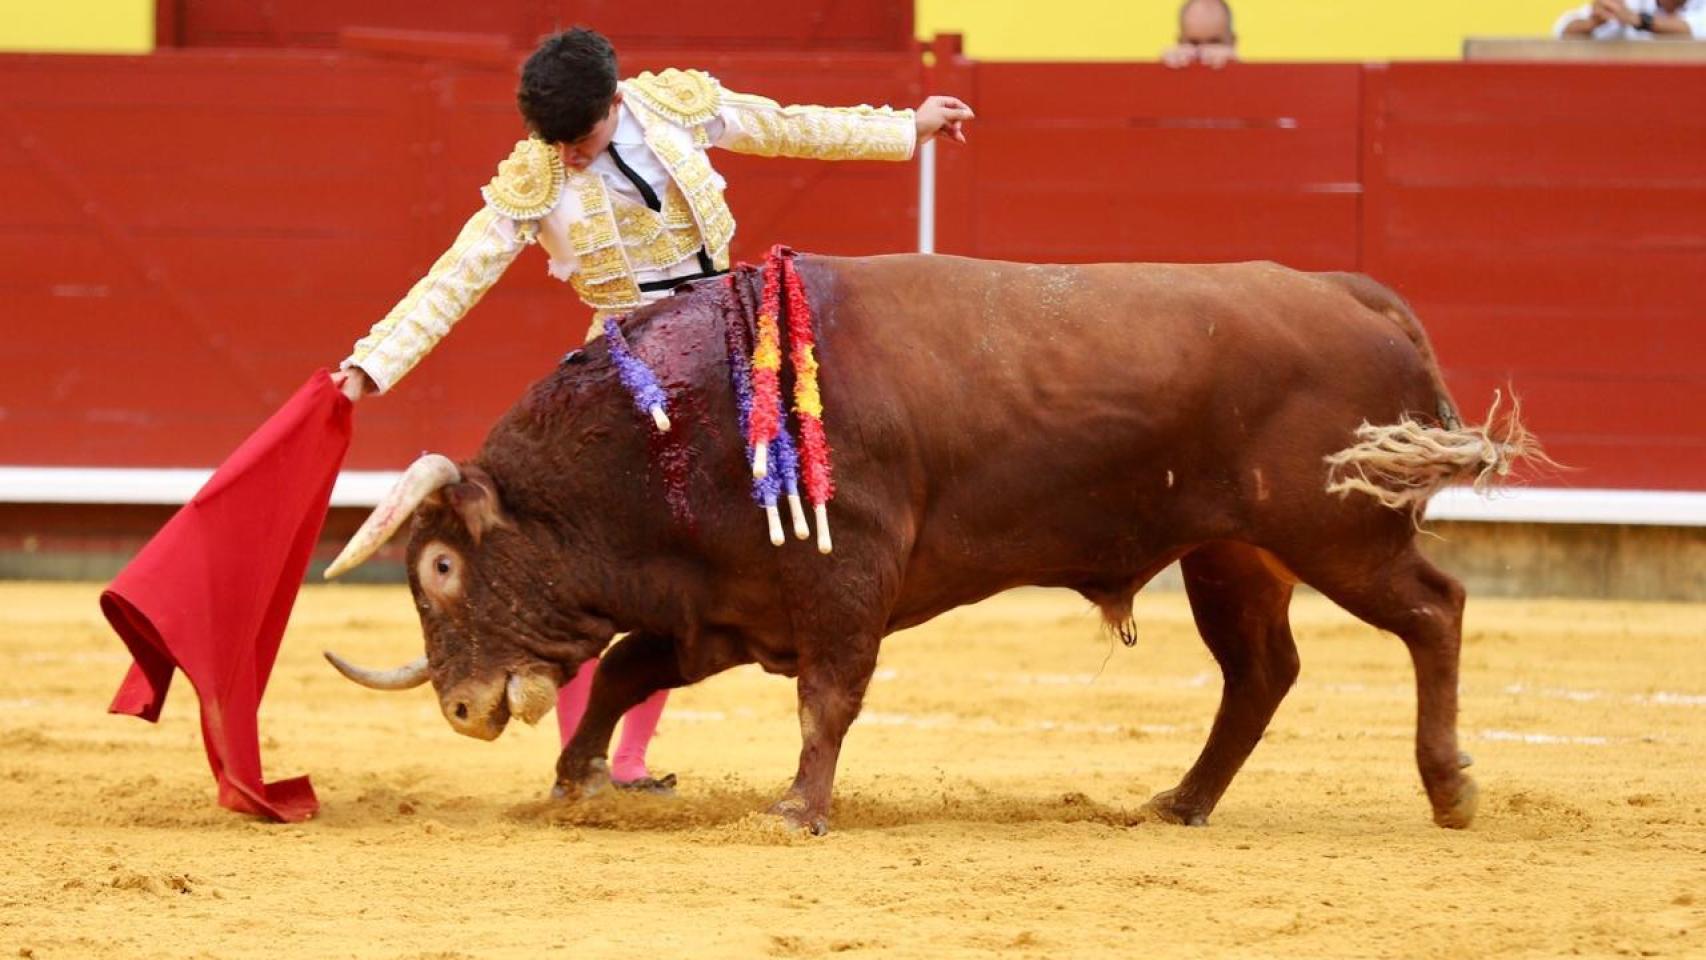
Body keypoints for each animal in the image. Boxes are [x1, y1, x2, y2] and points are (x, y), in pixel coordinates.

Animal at [322, 254, 1549, 835]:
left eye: (441, 566)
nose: (462, 707)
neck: (672, 421)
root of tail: (1350, 294)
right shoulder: (728, 606)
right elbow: (630, 667)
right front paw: (576, 781)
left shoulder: (839, 581)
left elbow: (827, 700)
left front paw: (795, 812)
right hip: (1233, 554)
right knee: (1260, 672)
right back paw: (1180, 801)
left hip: (1337, 529)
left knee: (1433, 609)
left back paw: (1450, 788)